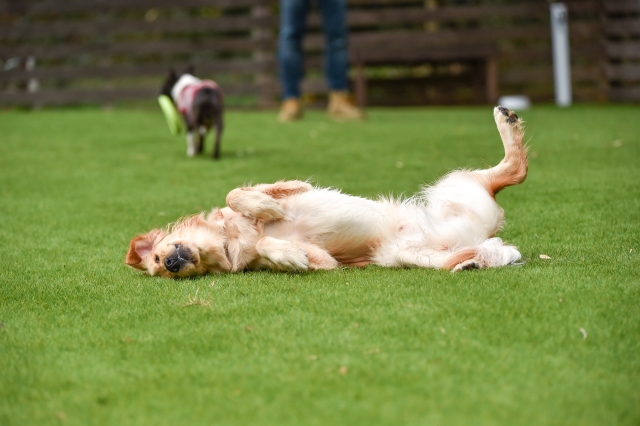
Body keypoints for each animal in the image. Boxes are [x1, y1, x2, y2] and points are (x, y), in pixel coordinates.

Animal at [127, 105, 528, 274]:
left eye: (158, 256)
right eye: (160, 268)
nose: (173, 263)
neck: (229, 240)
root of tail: (482, 233)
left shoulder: (293, 186)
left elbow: (237, 194)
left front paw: (265, 209)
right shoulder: (327, 262)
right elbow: (273, 246)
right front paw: (289, 256)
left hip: (453, 186)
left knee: (513, 171)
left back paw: (506, 119)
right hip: (412, 253)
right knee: (488, 244)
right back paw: (481, 260)